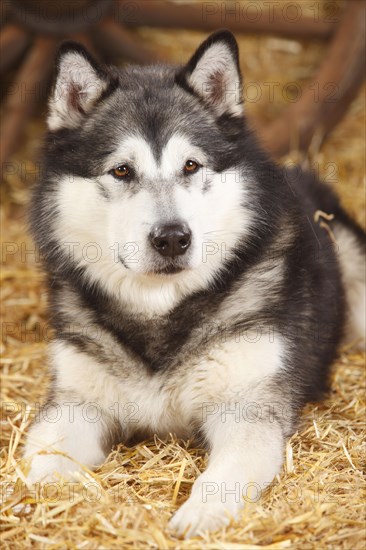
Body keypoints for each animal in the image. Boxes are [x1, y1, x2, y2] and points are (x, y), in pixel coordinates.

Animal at [24, 31, 364, 540]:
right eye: (121, 170)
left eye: (190, 166)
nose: (172, 238)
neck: (160, 313)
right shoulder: (75, 405)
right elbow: (42, 462)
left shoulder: (247, 408)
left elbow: (227, 473)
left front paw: (202, 513)